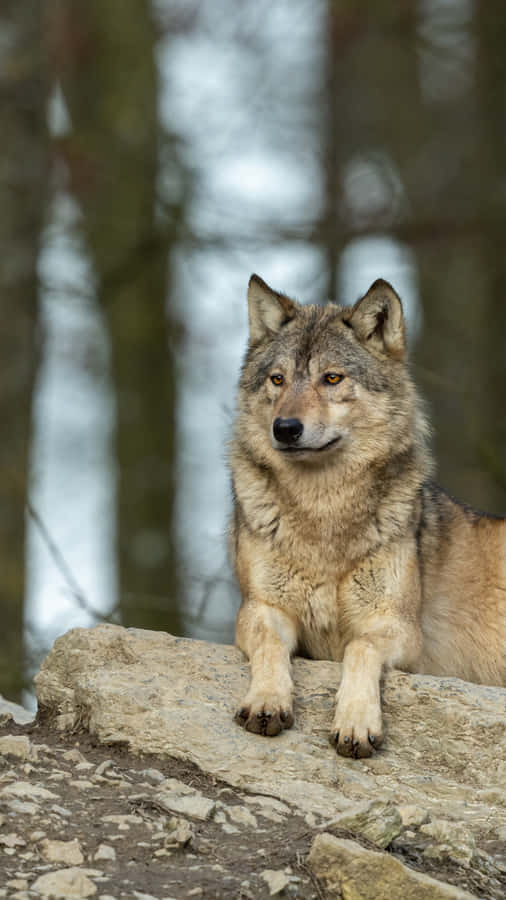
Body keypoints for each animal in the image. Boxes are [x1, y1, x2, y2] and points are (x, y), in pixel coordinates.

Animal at [229, 274, 506, 759]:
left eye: (332, 378)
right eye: (278, 379)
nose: (285, 428)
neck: (323, 510)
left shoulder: (397, 628)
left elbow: (359, 648)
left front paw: (356, 723)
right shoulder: (260, 609)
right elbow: (269, 647)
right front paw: (266, 700)